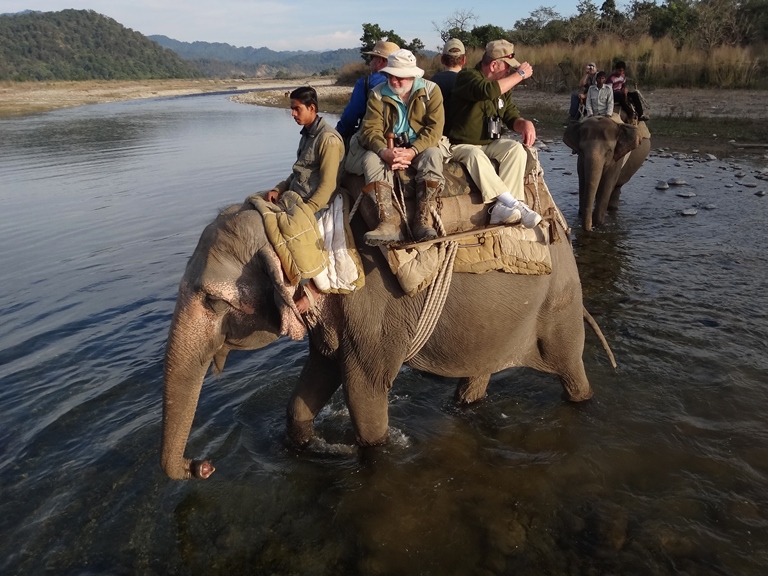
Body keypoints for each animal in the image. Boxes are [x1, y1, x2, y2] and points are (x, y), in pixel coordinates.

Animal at [160, 196, 592, 480]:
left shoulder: (372, 315)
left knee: (571, 371)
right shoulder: (333, 321)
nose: (203, 465)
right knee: (478, 376)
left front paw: (371, 450)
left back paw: (581, 401)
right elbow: (310, 386)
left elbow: (364, 398)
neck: (300, 230)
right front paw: (308, 445)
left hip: (559, 307)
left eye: (213, 301)